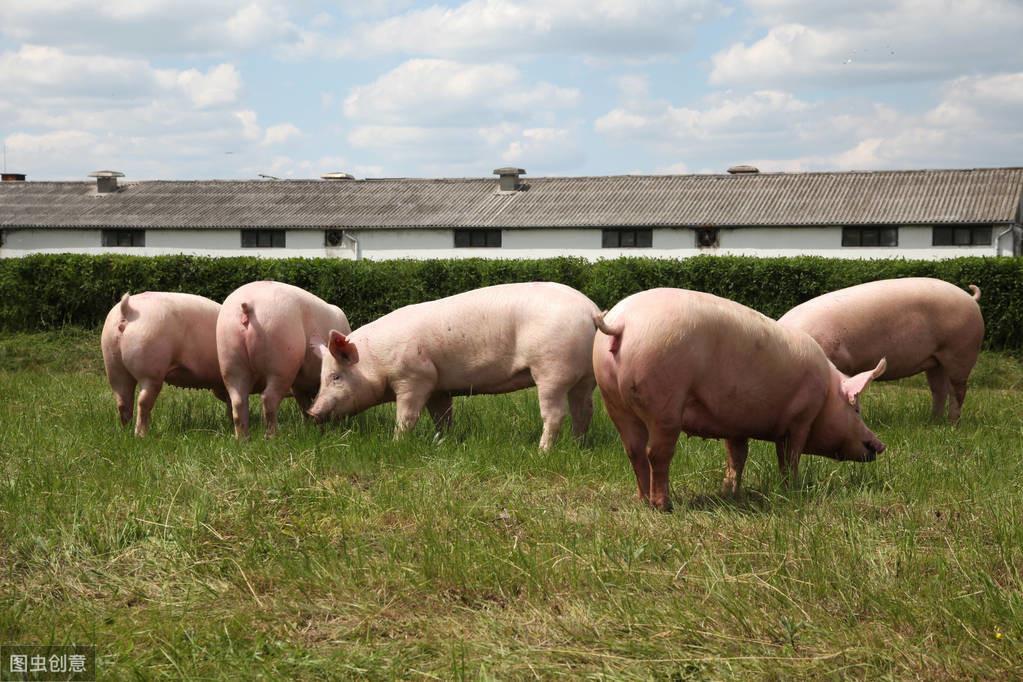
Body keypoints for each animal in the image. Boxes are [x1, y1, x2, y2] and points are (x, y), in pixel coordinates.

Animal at [100, 290, 227, 435]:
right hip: (151, 368)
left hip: (113, 363)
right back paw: (142, 435)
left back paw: (125, 432)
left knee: (123, 401)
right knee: (143, 402)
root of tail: (127, 309)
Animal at [216, 280, 351, 439]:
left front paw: (310, 425)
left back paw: (242, 439)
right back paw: (272, 436)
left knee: (238, 400)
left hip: (229, 357)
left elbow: (305, 405)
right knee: (268, 398)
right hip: (282, 359)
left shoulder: (300, 385)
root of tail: (248, 305)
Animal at [306, 280, 601, 449]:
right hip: (586, 376)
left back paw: (541, 452)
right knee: (584, 410)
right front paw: (441, 442)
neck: (375, 360)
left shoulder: (415, 377)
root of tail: (591, 310)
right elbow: (443, 418)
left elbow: (407, 416)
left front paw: (395, 444)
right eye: (322, 378)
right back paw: (578, 447)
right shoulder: (438, 386)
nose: (311, 412)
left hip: (552, 370)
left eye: (335, 376)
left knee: (556, 414)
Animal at [593, 288, 887, 511]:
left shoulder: (735, 425)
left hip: (614, 401)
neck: (826, 392)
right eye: (857, 409)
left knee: (634, 451)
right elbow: (790, 456)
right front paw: (791, 488)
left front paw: (730, 493)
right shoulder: (801, 417)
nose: (881, 445)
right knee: (656, 453)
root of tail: (622, 323)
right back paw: (664, 505)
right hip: (664, 400)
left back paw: (642, 501)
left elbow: (738, 457)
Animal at [777, 278, 986, 421]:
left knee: (957, 390)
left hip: (961, 351)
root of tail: (970, 298)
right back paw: (933, 421)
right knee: (938, 390)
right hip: (935, 359)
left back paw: (952, 424)